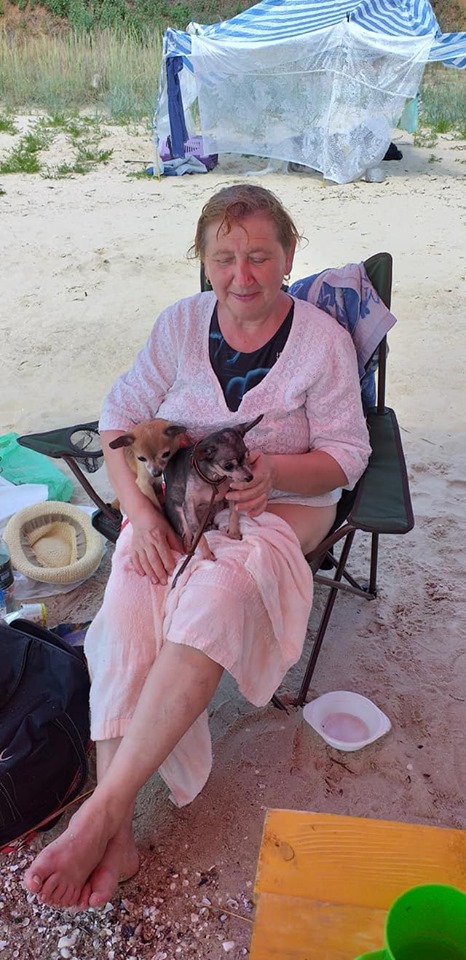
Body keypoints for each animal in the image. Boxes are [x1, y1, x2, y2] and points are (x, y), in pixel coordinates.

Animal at [164, 415, 263, 573]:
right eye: (228, 466)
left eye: (248, 455)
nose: (250, 477)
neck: (214, 480)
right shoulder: (189, 506)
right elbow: (199, 536)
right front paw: (206, 555)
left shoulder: (231, 492)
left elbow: (233, 514)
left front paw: (233, 533)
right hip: (180, 514)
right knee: (188, 536)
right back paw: (189, 547)